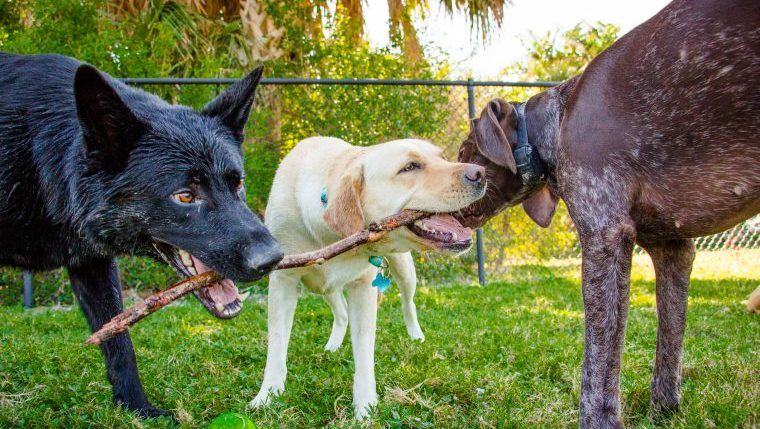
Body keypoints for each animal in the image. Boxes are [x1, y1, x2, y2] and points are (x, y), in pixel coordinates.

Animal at [0, 52, 284, 414]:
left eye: (238, 183)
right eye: (185, 196)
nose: (273, 259)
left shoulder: (92, 264)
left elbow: (119, 340)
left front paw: (136, 407)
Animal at [454, 0, 756, 428]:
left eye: (465, 152)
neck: (556, 124)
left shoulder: (603, 236)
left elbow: (597, 364)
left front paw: (598, 420)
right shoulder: (672, 249)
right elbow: (670, 343)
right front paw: (664, 412)